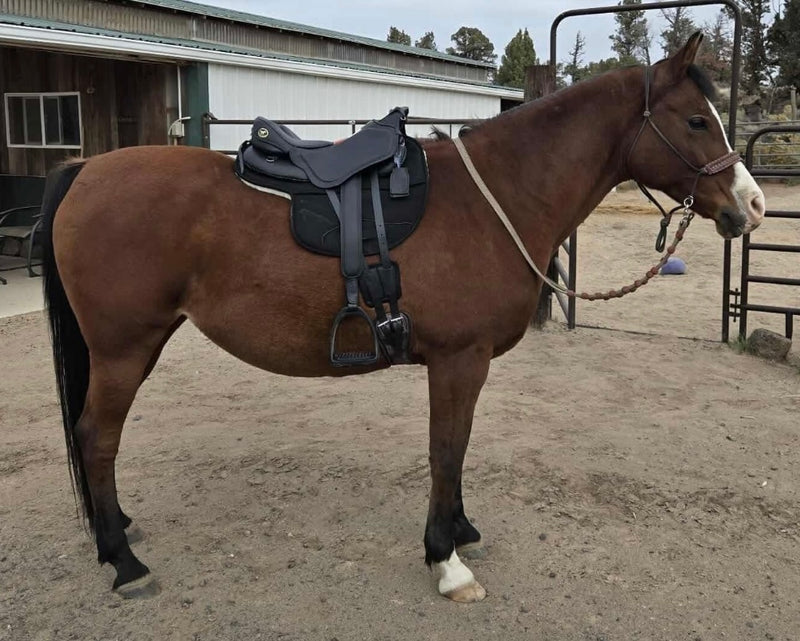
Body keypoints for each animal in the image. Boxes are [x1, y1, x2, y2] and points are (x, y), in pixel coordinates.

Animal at [40, 33, 765, 602]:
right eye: (696, 121)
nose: (752, 207)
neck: (497, 196)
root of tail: (84, 170)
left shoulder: (464, 364)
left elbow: (459, 447)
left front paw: (460, 530)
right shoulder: (458, 359)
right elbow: (447, 448)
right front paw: (446, 558)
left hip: (140, 344)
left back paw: (117, 529)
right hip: (123, 349)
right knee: (97, 436)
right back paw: (124, 562)